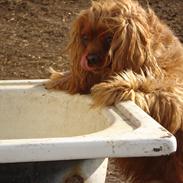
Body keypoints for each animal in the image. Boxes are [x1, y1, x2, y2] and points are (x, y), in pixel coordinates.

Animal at [44, 0, 183, 182]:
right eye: (85, 38)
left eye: (109, 38)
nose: (89, 59)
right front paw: (61, 79)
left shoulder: (173, 98)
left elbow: (149, 87)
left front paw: (116, 86)